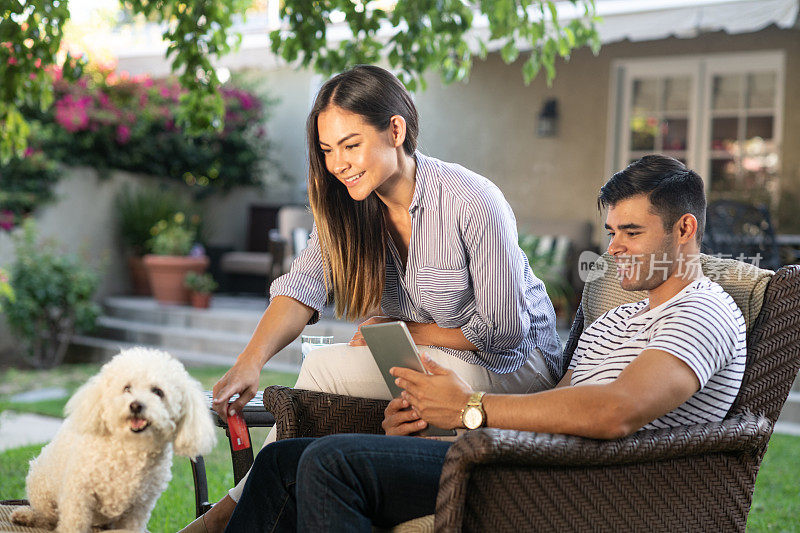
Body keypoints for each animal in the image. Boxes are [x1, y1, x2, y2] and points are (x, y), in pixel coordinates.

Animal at [11, 348, 216, 528]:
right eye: (126, 388)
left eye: (158, 391)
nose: (136, 405)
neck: (130, 449)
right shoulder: (78, 496)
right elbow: (73, 525)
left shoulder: (138, 509)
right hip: (41, 488)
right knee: (46, 516)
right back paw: (27, 516)